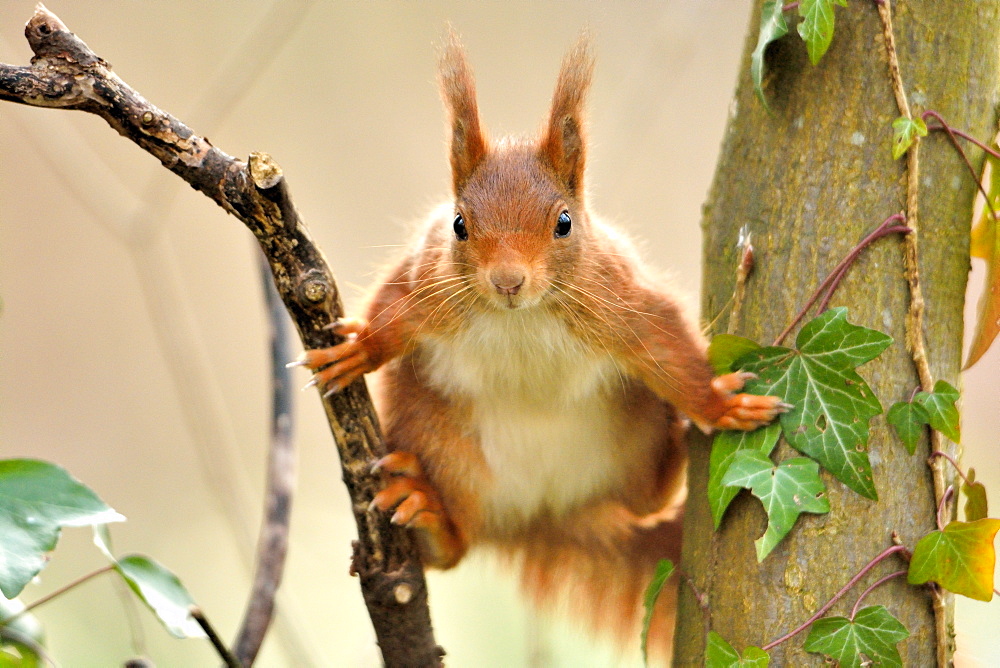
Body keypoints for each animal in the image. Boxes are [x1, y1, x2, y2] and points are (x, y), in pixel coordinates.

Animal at [296, 30, 780, 656]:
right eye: (459, 224)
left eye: (564, 222)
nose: (507, 281)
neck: (521, 318)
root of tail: (547, 515)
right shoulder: (428, 280)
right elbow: (393, 313)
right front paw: (359, 351)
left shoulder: (621, 302)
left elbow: (669, 349)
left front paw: (720, 406)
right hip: (441, 442)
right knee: (454, 551)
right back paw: (428, 515)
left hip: (632, 439)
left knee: (646, 500)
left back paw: (678, 443)